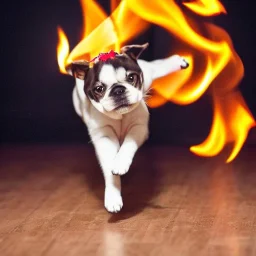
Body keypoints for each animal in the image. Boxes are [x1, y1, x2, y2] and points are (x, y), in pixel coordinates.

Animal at [67, 43, 189, 213]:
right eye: (99, 89)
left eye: (131, 78)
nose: (118, 90)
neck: (120, 116)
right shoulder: (104, 137)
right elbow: (110, 169)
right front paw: (113, 195)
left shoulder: (138, 127)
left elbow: (128, 145)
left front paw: (120, 163)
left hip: (148, 76)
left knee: (155, 67)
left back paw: (178, 61)